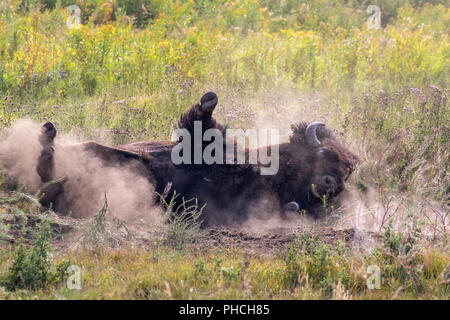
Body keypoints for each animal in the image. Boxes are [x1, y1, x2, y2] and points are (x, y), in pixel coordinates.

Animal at [35, 91, 358, 226]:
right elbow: (203, 123)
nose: (330, 184)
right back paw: (47, 135)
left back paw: (47, 147)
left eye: (346, 172)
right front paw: (208, 100)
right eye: (324, 153)